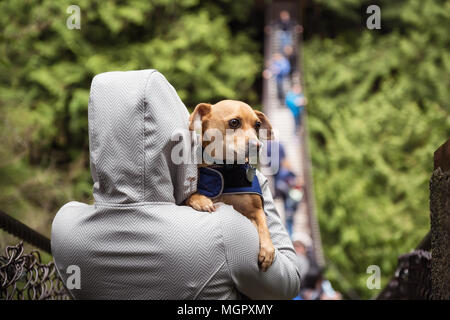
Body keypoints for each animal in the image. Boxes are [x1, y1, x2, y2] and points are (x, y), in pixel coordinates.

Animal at [185, 99, 276, 270]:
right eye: (234, 122)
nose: (257, 145)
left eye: (258, 125)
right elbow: (189, 196)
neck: (226, 169)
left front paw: (268, 249)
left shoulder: (257, 209)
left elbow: (263, 223)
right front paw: (201, 201)